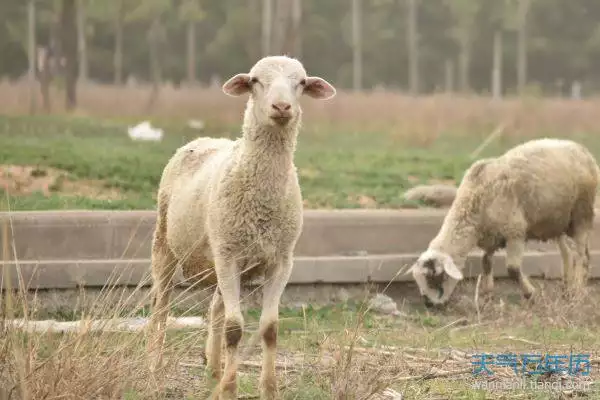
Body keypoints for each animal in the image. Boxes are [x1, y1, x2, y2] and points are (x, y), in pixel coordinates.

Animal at [144, 54, 336, 398]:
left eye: (301, 83)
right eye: (256, 81)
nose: (282, 107)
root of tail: (202, 140)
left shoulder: (280, 261)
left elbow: (269, 328)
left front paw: (268, 389)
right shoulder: (229, 256)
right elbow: (235, 329)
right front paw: (231, 390)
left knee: (215, 308)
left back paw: (214, 370)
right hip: (167, 241)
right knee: (161, 305)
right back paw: (155, 365)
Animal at [406, 139, 596, 308]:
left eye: (435, 279)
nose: (429, 305)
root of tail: (582, 149)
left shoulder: (515, 233)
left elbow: (512, 269)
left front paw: (530, 294)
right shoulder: (491, 236)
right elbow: (486, 262)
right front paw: (487, 295)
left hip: (581, 213)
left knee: (582, 255)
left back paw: (578, 292)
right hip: (555, 221)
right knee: (568, 253)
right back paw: (567, 289)